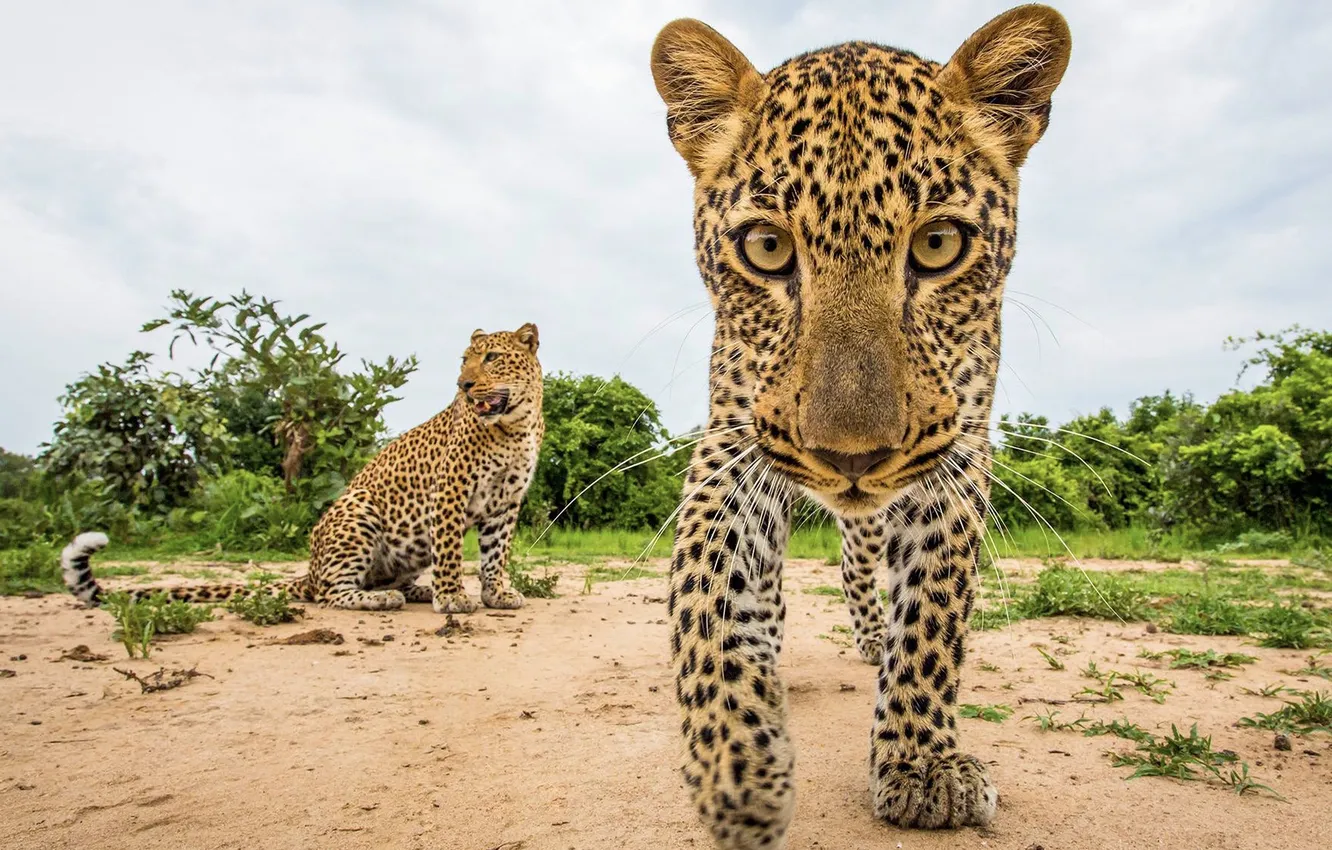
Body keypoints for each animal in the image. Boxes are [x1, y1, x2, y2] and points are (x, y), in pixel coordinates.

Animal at [62, 323, 545, 616]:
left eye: (492, 358)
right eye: (464, 361)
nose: (463, 385)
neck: (514, 425)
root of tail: (309, 570)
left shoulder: (505, 502)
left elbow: (495, 553)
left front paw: (496, 594)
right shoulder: (450, 490)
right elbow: (450, 550)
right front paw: (452, 598)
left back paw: (411, 591)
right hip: (358, 510)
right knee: (330, 593)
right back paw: (380, 598)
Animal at [649, 5, 1071, 847]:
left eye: (939, 244)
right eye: (767, 247)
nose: (851, 458)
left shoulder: (957, 455)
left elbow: (935, 613)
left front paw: (920, 763)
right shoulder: (733, 442)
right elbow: (705, 587)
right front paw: (738, 767)